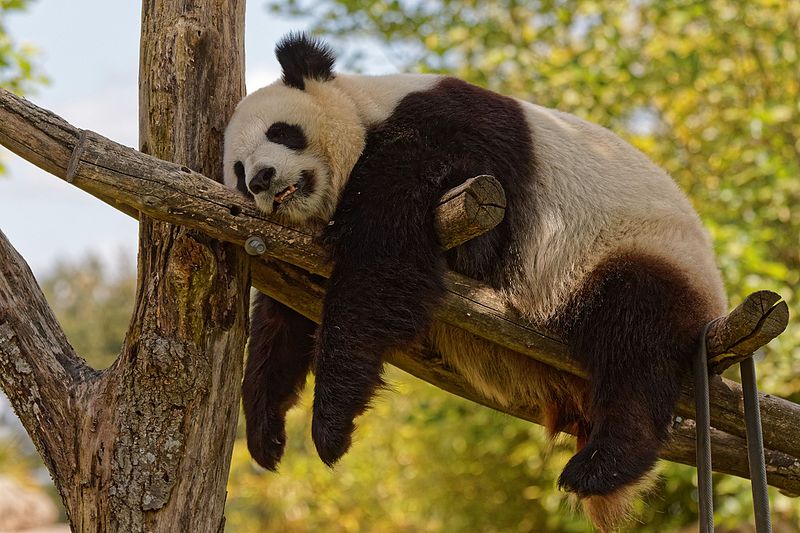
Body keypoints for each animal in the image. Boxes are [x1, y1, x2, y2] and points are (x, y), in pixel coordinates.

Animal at [222, 33, 728, 528]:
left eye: (281, 132)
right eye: (238, 173)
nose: (262, 178)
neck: (369, 111)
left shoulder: (438, 136)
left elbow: (384, 261)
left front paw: (331, 427)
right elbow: (284, 317)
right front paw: (265, 430)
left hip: (629, 251)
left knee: (635, 336)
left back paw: (602, 465)